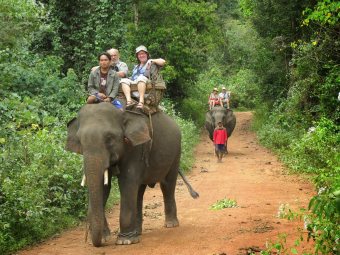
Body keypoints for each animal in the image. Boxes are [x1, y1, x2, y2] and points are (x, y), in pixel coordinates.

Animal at [65, 102, 198, 247]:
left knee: (167, 184)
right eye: (79, 140)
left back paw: (170, 224)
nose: (94, 241)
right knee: (139, 191)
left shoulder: (136, 149)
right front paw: (106, 238)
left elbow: (127, 182)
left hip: (176, 152)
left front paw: (125, 241)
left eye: (109, 138)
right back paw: (138, 232)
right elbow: (105, 187)